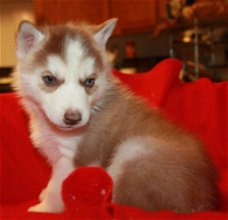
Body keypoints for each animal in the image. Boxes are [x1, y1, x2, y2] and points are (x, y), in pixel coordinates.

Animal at [14, 19, 219, 213]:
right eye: (50, 79)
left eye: (90, 81)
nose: (73, 118)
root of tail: (204, 200)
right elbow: (52, 183)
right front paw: (44, 194)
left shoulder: (72, 157)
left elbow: (56, 187)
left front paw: (44, 208)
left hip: (134, 150)